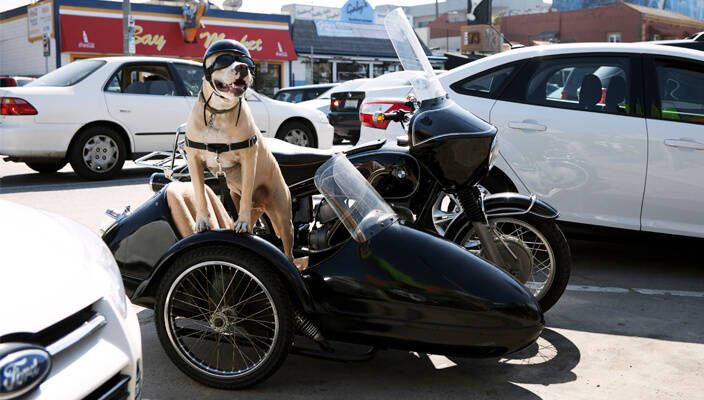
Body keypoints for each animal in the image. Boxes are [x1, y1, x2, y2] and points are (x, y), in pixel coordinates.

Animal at [184, 40, 294, 260]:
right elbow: (200, 192)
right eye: (223, 60)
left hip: (283, 218)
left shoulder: (248, 157)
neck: (218, 112)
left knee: (288, 250)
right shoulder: (194, 159)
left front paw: (242, 222)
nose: (242, 67)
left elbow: (246, 194)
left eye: (247, 63)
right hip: (245, 202)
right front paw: (202, 221)